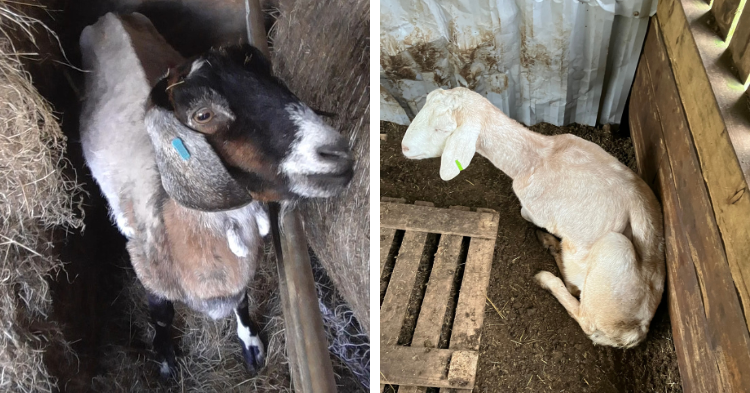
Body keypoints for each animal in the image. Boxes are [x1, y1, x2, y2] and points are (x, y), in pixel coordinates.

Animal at [79, 13, 356, 376]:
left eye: (270, 75)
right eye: (203, 115)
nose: (335, 154)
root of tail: (109, 15)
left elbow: (243, 300)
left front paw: (251, 344)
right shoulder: (148, 274)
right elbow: (162, 315)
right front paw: (165, 357)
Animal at [402, 87, 668, 348]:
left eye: (442, 129)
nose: (404, 148)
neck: (537, 157)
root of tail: (635, 333)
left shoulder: (536, 209)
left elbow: (524, 213)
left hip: (612, 257)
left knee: (584, 314)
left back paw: (547, 276)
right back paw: (552, 247)